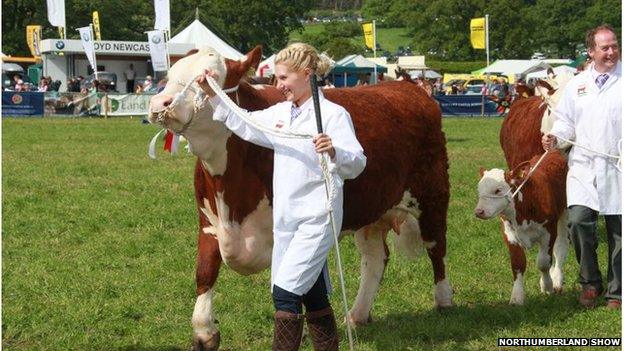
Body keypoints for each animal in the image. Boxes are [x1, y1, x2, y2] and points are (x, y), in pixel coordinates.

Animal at [472, 153, 572, 306]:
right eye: (479, 190)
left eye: (498, 190)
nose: (479, 212)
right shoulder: (509, 234)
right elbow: (517, 263)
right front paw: (516, 297)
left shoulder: (549, 231)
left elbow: (543, 262)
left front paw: (547, 286)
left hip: (565, 214)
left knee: (560, 247)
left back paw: (557, 280)